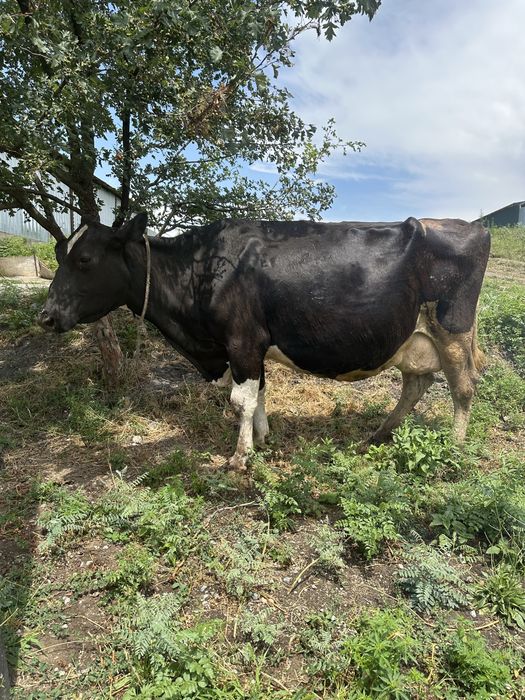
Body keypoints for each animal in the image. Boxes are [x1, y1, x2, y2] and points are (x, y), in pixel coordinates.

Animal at [39, 214, 490, 470]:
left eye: (84, 260)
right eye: (60, 254)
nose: (46, 315)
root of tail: (471, 225)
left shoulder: (241, 340)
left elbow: (240, 399)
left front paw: (240, 457)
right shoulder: (250, 348)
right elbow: (258, 394)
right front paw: (261, 438)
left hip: (453, 328)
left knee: (463, 387)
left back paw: (454, 447)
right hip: (414, 338)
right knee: (417, 383)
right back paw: (380, 434)